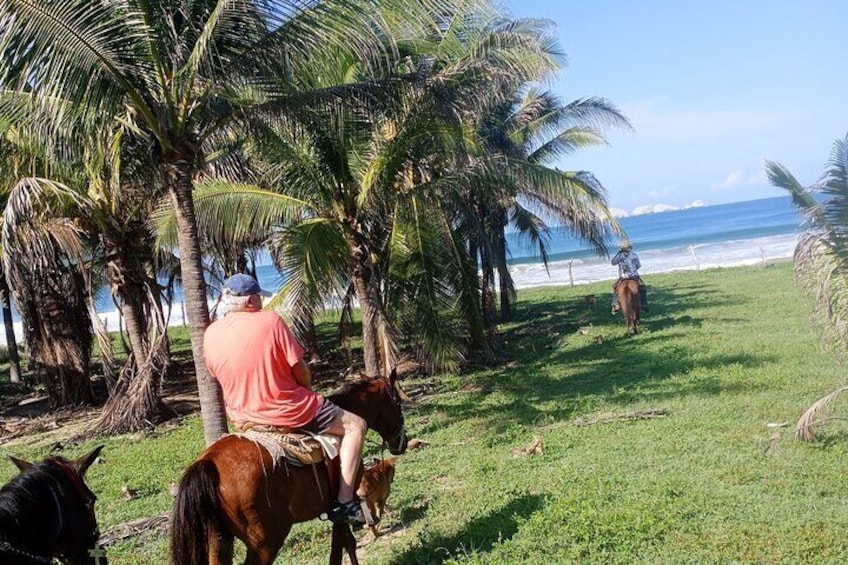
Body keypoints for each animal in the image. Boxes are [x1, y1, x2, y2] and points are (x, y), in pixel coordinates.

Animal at [170, 372, 408, 560]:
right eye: (398, 403)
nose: (401, 443)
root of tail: (209, 462)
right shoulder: (340, 507)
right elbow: (343, 545)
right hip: (266, 543)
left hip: (218, 541)